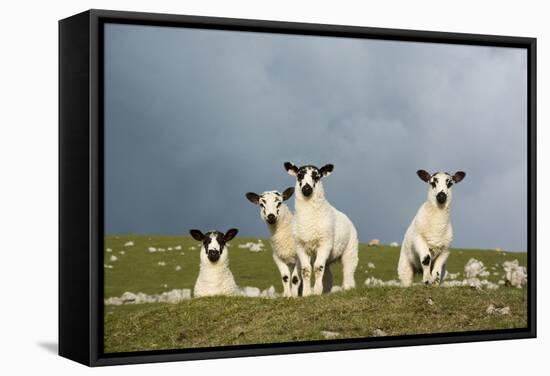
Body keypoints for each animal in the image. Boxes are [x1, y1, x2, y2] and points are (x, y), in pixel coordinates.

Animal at [286, 162, 360, 296]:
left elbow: (318, 267)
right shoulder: (300, 246)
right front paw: (306, 293)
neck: (309, 219)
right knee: (328, 275)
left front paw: (316, 291)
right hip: (328, 257)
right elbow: (306, 270)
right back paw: (326, 291)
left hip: (350, 249)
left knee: (348, 270)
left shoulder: (324, 243)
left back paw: (348, 288)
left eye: (317, 176)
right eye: (299, 175)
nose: (306, 188)